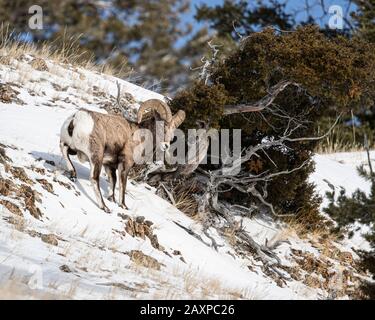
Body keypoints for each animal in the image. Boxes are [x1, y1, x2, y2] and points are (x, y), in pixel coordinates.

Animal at [59, 98, 187, 212]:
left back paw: (73, 174)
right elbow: (122, 185)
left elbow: (113, 181)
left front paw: (112, 199)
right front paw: (123, 206)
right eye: (162, 126)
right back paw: (105, 207)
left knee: (64, 150)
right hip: (96, 157)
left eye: (173, 130)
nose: (166, 145)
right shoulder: (125, 165)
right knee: (94, 179)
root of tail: (76, 119)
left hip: (72, 147)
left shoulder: (109, 165)